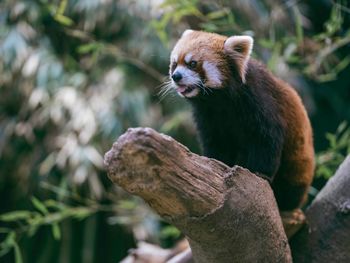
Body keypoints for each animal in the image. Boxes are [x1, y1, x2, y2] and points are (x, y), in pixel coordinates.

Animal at [167, 29, 314, 211]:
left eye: (192, 63)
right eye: (174, 64)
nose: (176, 76)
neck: (218, 101)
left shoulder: (259, 100)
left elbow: (266, 138)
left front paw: (260, 172)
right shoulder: (208, 117)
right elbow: (217, 142)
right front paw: (215, 162)